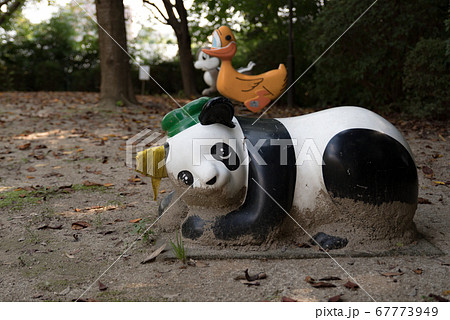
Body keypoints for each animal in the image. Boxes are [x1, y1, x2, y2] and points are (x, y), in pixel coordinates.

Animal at [146, 97, 416, 248]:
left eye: (221, 151)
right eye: (185, 177)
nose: (210, 180)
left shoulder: (268, 152)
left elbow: (258, 221)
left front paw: (194, 225)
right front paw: (169, 211)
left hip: (374, 160)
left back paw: (335, 237)